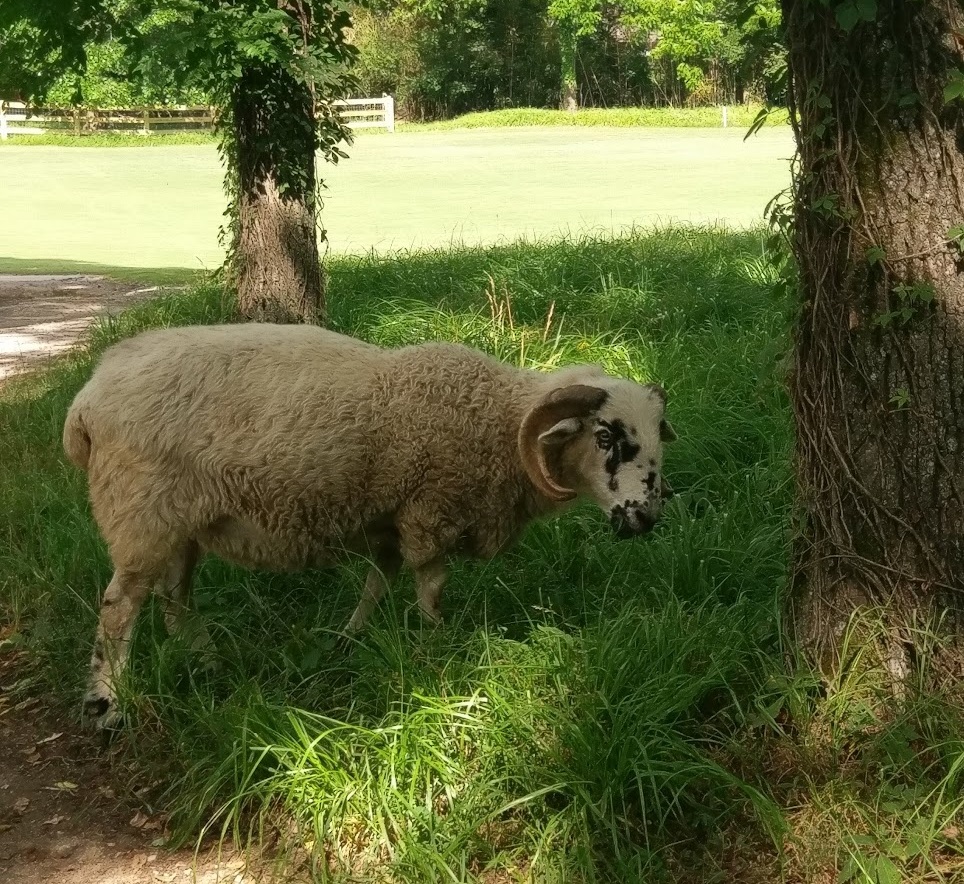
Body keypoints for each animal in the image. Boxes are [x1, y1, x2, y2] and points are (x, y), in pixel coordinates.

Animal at [63, 323, 677, 729]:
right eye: (605, 437)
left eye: (658, 436)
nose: (645, 518)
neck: (499, 424)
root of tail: (86, 401)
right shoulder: (430, 512)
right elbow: (431, 587)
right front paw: (436, 654)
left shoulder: (391, 519)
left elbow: (377, 583)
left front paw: (350, 638)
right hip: (139, 513)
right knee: (118, 607)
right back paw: (106, 705)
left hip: (182, 524)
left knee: (175, 599)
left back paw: (207, 665)